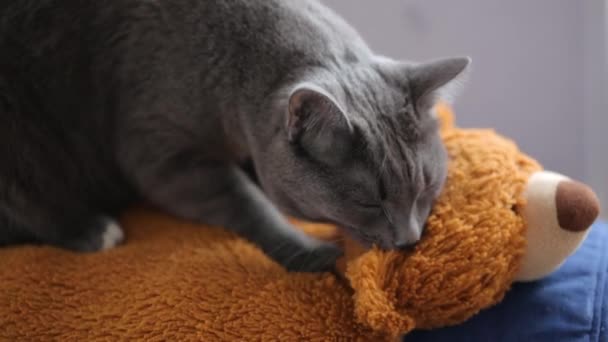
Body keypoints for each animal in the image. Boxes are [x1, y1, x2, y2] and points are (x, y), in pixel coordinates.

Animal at [0, 0, 470, 272]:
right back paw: (95, 231)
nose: (409, 239)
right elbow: (245, 201)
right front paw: (311, 253)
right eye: (369, 203)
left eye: (426, 187)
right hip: (21, 126)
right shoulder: (159, 149)